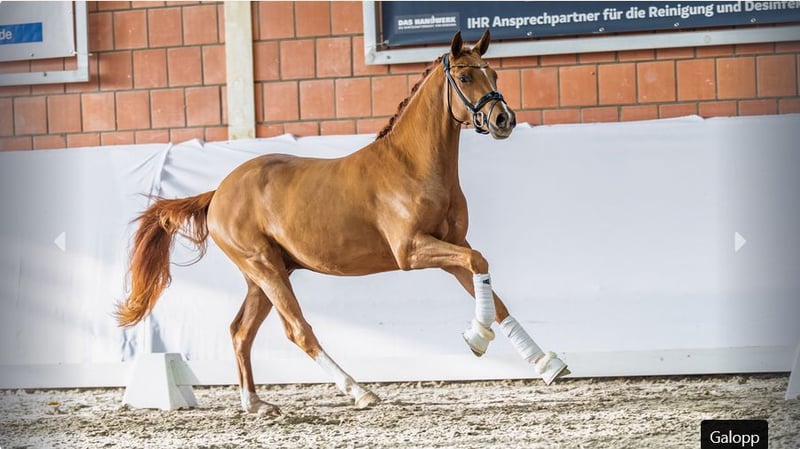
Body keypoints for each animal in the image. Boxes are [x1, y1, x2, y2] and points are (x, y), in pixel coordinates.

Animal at [116, 30, 569, 416]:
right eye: (464, 75)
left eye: (493, 73)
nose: (503, 119)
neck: (413, 167)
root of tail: (219, 192)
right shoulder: (412, 251)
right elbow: (479, 263)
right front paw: (476, 339)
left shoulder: (451, 247)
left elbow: (489, 284)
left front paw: (546, 365)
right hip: (265, 269)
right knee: (298, 331)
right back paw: (359, 391)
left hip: (265, 275)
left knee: (240, 332)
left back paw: (256, 404)